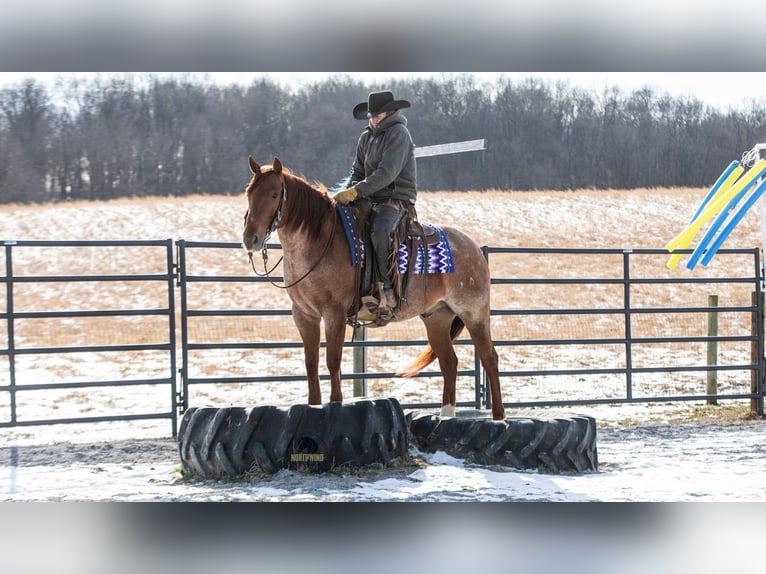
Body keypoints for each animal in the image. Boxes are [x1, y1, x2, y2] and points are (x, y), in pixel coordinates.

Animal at [241, 156, 506, 420]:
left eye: (274, 194)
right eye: (249, 193)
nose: (250, 239)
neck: (318, 240)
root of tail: (474, 248)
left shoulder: (334, 312)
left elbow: (333, 360)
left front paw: (336, 403)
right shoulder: (304, 314)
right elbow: (311, 362)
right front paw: (314, 404)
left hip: (474, 312)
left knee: (489, 358)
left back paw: (498, 416)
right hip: (437, 317)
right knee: (449, 362)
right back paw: (445, 415)